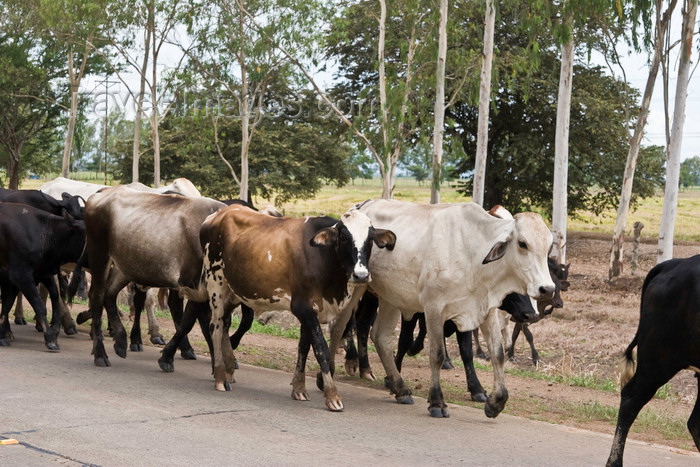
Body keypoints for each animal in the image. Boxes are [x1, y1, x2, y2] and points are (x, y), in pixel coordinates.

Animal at [179, 205, 394, 414]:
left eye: (370, 239)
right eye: (343, 238)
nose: (361, 275)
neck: (323, 258)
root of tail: (218, 214)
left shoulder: (313, 311)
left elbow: (303, 347)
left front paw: (299, 388)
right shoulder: (303, 307)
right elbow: (320, 349)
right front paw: (332, 396)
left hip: (234, 291)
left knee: (224, 324)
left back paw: (229, 369)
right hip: (216, 283)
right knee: (215, 326)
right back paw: (220, 376)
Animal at [358, 199, 556, 418]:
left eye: (549, 246)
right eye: (522, 243)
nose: (547, 289)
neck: (472, 254)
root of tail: (363, 205)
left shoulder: (485, 309)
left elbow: (497, 353)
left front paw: (496, 401)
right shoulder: (433, 308)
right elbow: (437, 354)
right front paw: (437, 402)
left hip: (390, 297)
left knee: (381, 336)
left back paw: (400, 389)